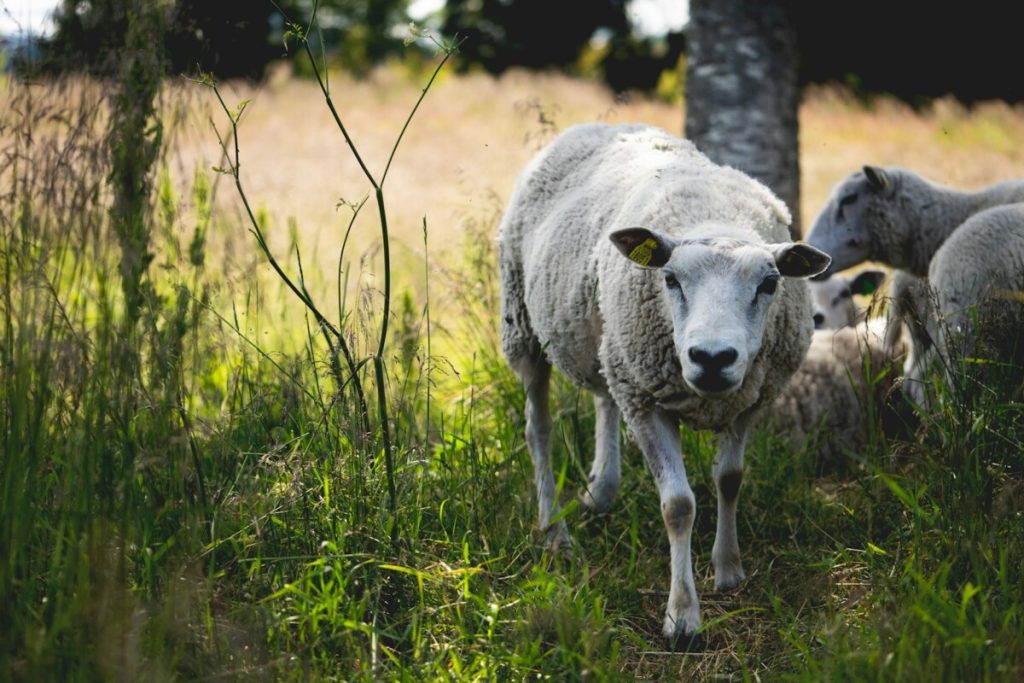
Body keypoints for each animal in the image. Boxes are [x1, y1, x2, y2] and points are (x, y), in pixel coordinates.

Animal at [498, 122, 830, 649]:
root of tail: (598, 124)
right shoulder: (648, 403)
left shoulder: (751, 399)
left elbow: (730, 479)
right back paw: (554, 532)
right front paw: (683, 617)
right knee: (539, 430)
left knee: (605, 399)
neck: (714, 215)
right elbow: (678, 506)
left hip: (612, 346)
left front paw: (729, 569)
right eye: (670, 278)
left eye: (770, 283)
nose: (712, 358)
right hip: (525, 326)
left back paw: (601, 491)